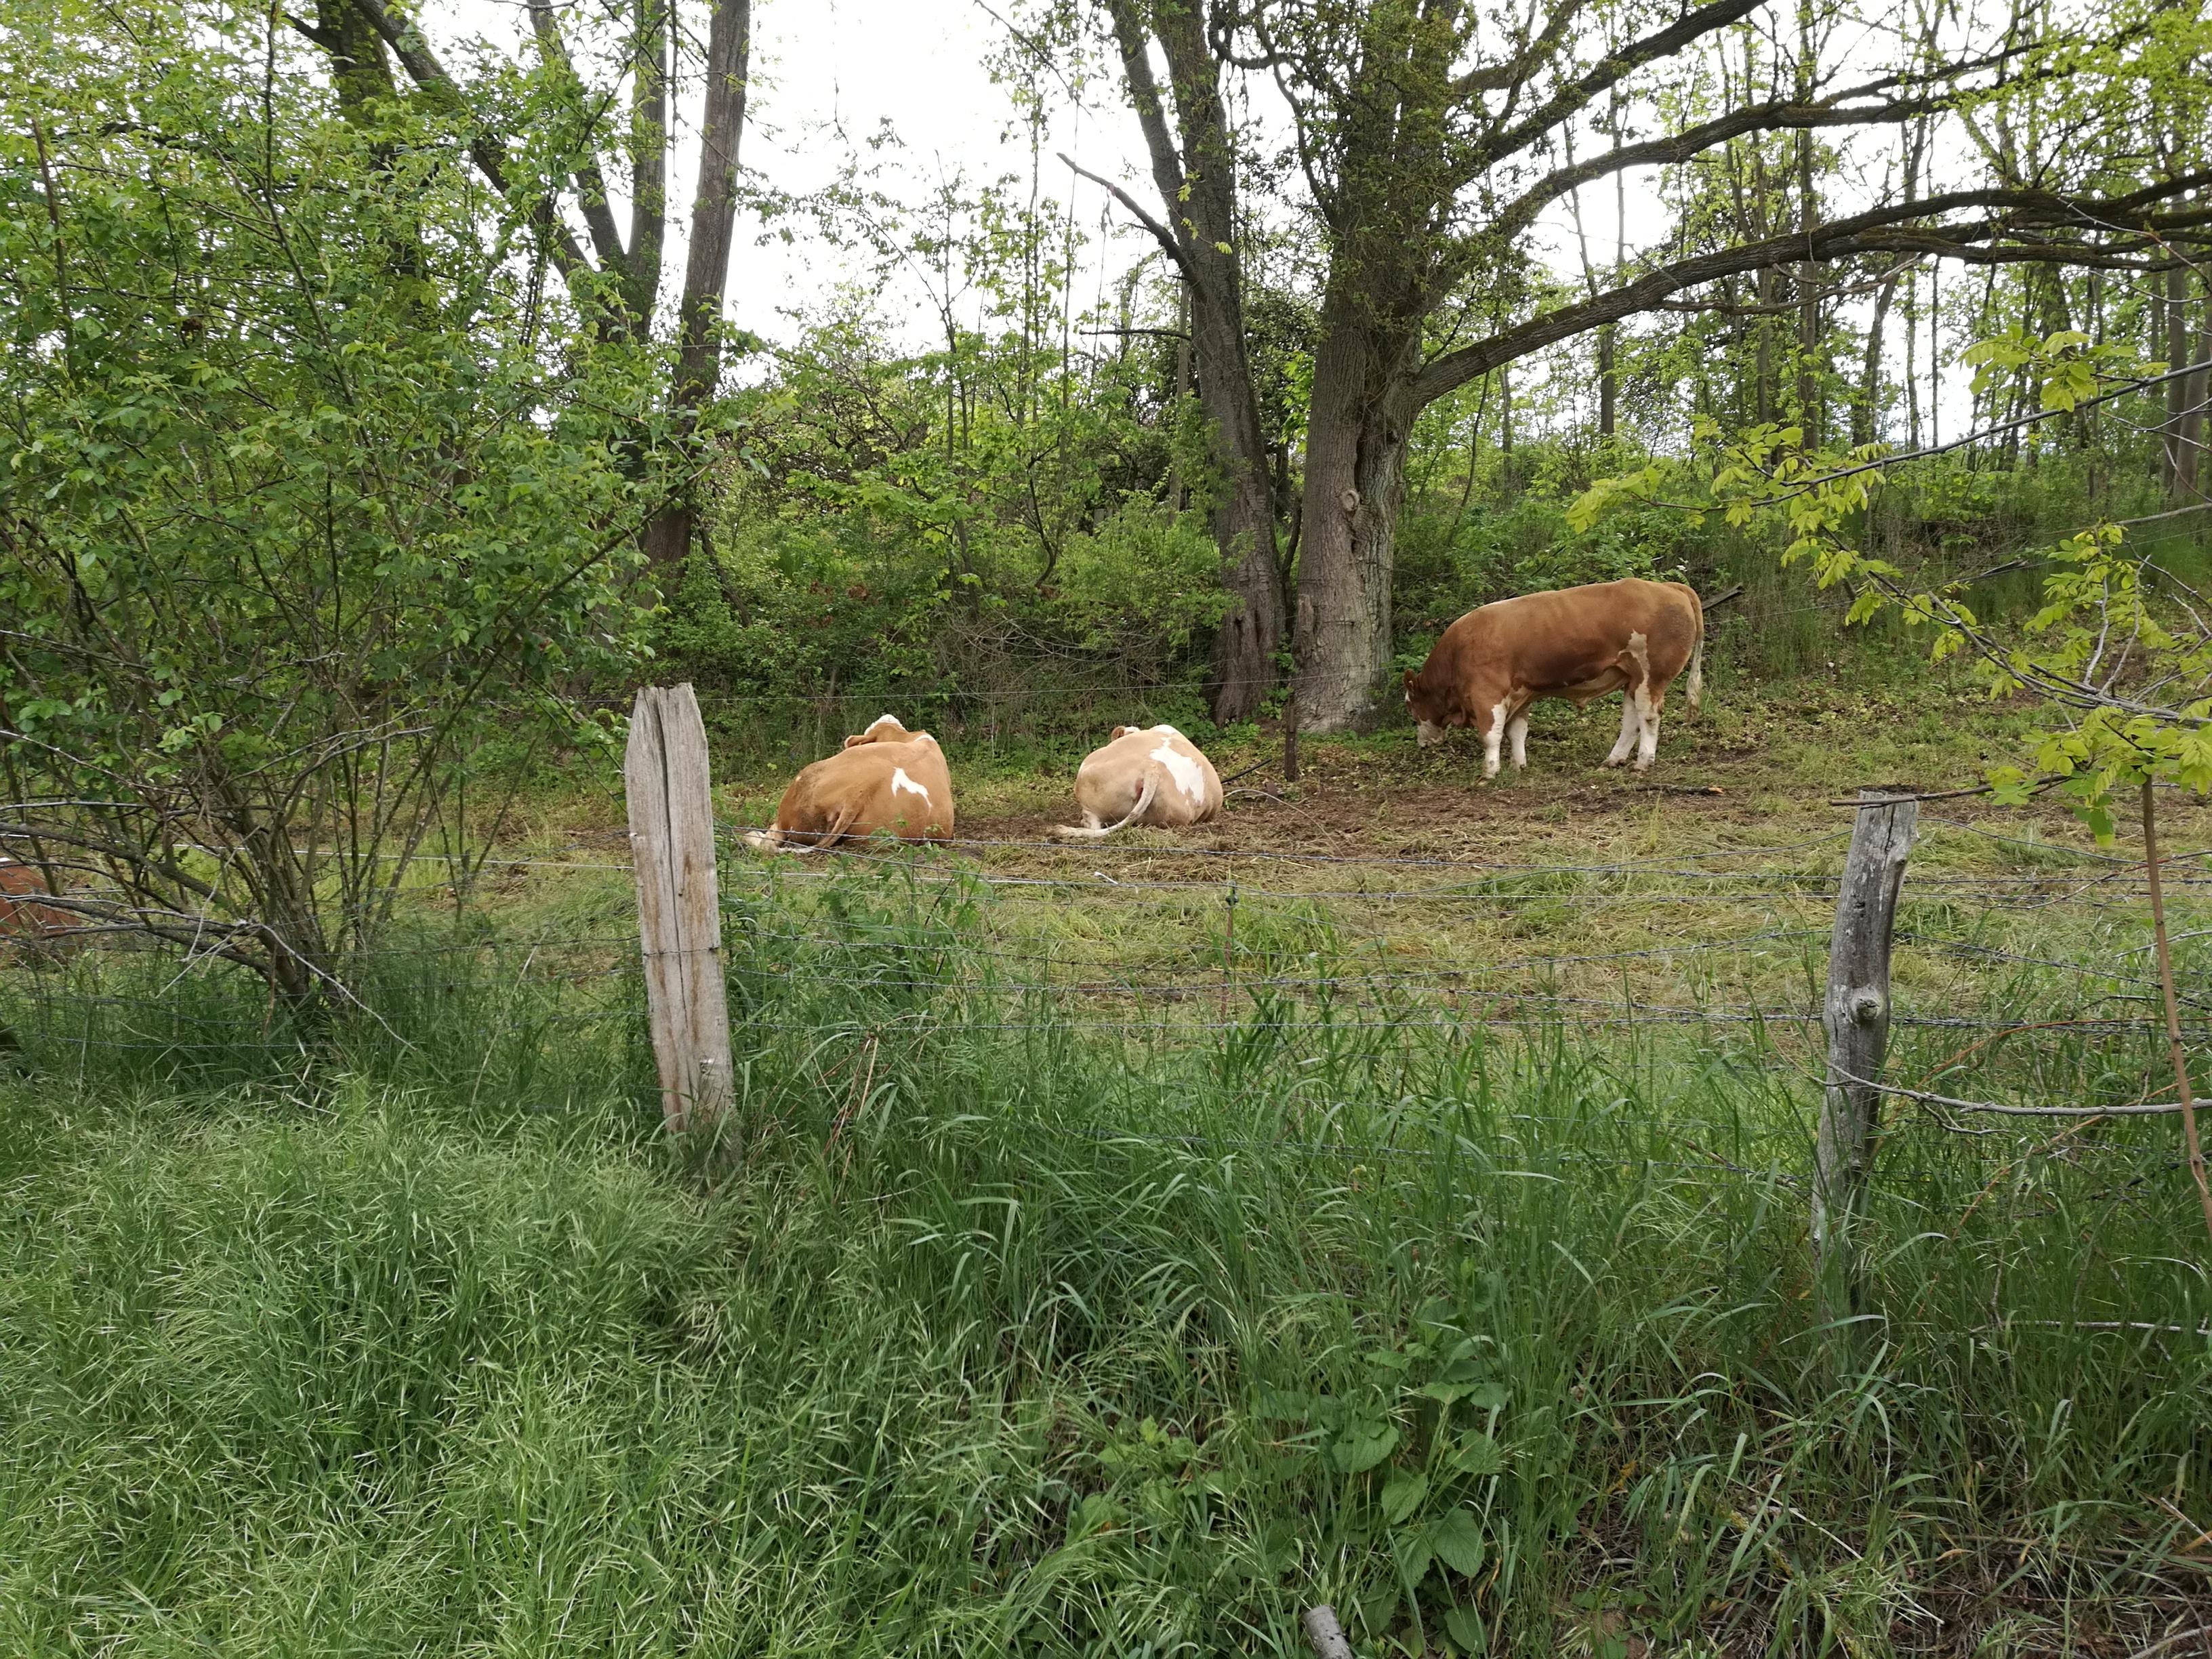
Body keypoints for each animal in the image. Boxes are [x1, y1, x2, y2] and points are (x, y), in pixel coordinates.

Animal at [1402, 577, 1704, 778]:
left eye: (1410, 708)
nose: (1422, 744)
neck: (1456, 655)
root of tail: (1669, 586)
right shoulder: (1519, 695)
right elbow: (1516, 732)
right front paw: (1518, 765)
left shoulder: (1487, 695)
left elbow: (1491, 735)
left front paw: (1489, 772)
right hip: (1632, 677)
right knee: (1632, 720)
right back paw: (1613, 760)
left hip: (1651, 675)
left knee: (1649, 717)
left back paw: (1643, 762)